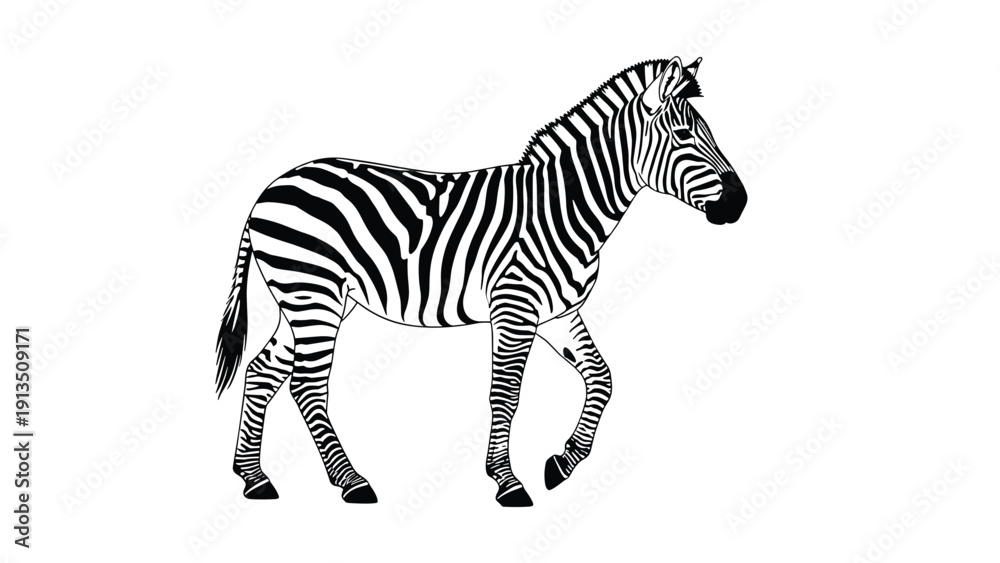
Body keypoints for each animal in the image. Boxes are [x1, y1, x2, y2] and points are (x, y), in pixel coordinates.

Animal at [215, 57, 746, 507]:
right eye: (683, 134)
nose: (740, 203)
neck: (564, 208)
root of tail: (269, 188)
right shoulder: (514, 306)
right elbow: (505, 394)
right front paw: (507, 482)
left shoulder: (558, 314)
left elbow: (602, 378)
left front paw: (562, 464)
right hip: (314, 293)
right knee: (306, 385)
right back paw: (351, 482)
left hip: (313, 300)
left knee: (263, 371)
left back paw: (254, 478)